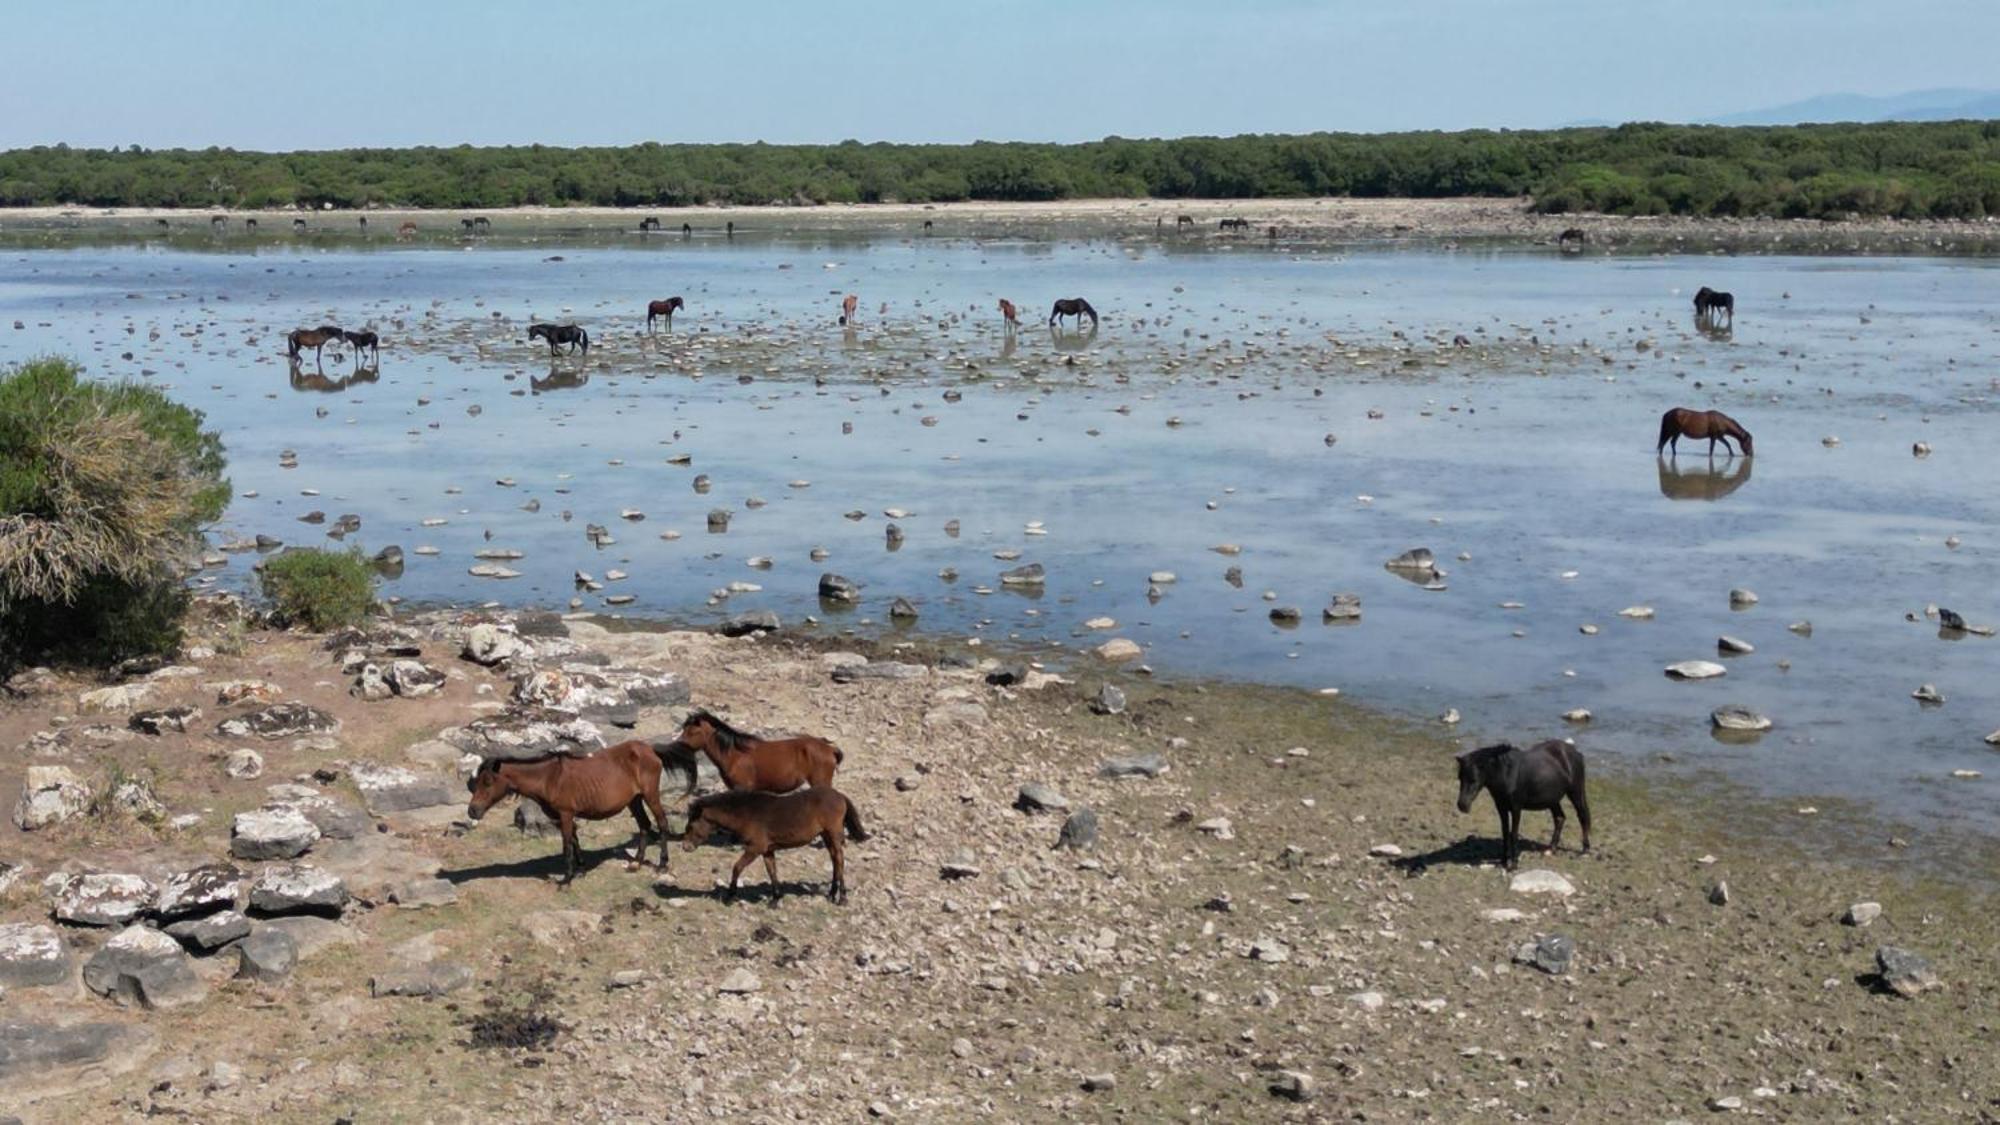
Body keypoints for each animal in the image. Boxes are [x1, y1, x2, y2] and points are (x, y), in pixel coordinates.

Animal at [466, 736, 700, 884]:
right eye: (476, 783)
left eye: (488, 782)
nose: (472, 812)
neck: (549, 778)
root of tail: (649, 749)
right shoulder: (560, 816)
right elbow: (574, 841)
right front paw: (581, 869)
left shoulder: (566, 814)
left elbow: (566, 845)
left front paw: (567, 878)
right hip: (634, 801)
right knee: (644, 826)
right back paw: (636, 863)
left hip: (650, 795)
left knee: (661, 823)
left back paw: (662, 864)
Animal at [680, 784, 868, 904]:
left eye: (690, 826)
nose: (685, 847)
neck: (747, 813)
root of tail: (839, 795)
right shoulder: (767, 850)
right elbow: (772, 871)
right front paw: (775, 899)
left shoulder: (755, 848)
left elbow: (737, 867)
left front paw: (730, 896)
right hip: (826, 836)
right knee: (835, 861)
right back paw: (832, 893)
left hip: (833, 834)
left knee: (839, 860)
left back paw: (842, 898)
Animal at [1456, 736, 1592, 868]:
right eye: (1460, 778)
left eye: (1474, 779)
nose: (1462, 805)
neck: (1507, 774)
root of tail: (1576, 753)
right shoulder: (1501, 808)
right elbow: (1505, 832)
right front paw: (1503, 861)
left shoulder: (1516, 808)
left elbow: (1514, 834)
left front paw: (1514, 864)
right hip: (1553, 799)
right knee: (1560, 818)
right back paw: (1550, 849)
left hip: (1575, 791)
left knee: (1582, 816)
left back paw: (1585, 850)